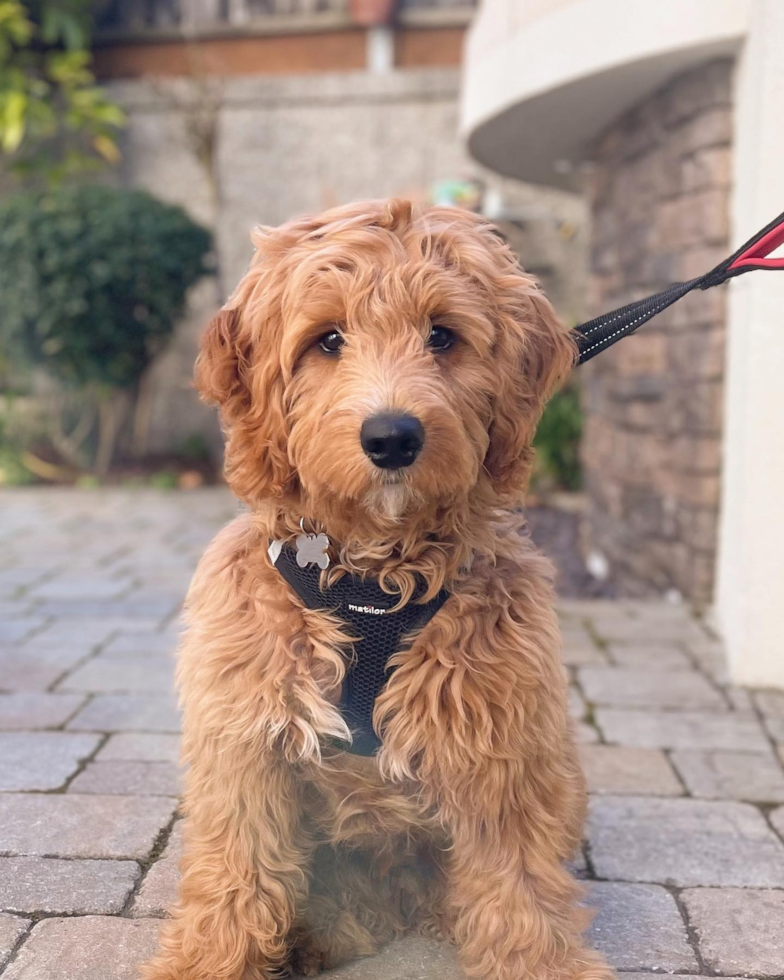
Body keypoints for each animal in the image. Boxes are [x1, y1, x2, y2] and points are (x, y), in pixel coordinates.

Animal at [144, 199, 616, 980]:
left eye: (443, 335)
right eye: (328, 339)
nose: (392, 437)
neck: (373, 580)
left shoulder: (502, 756)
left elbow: (518, 889)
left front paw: (542, 964)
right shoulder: (244, 746)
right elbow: (235, 875)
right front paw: (208, 964)